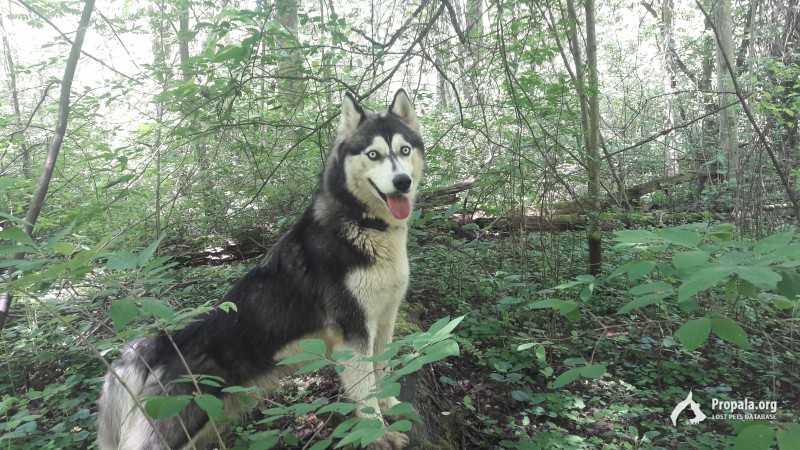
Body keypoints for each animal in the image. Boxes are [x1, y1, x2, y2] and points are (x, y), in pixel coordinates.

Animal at [98, 89, 424, 448]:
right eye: (373, 154)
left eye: (404, 150)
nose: (402, 182)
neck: (364, 225)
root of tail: (168, 340)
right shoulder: (353, 330)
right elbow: (365, 390)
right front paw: (378, 433)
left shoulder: (385, 319)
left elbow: (383, 369)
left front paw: (390, 405)